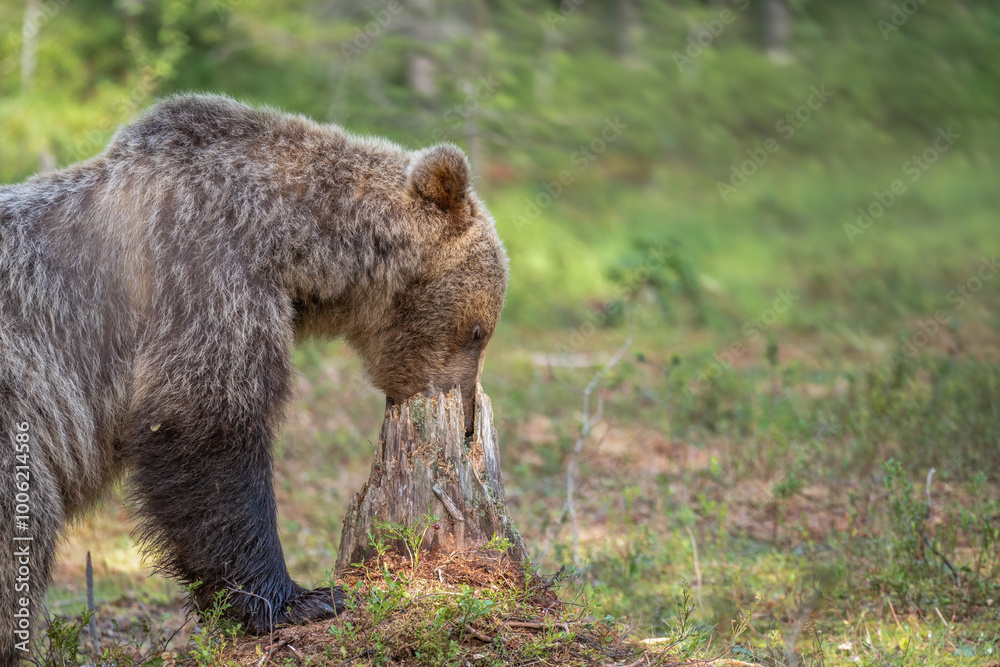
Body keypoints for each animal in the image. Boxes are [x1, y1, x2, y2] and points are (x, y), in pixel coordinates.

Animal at [0, 93, 507, 662]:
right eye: (478, 330)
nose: (468, 420)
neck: (294, 244)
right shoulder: (208, 276)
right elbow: (207, 434)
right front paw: (298, 598)